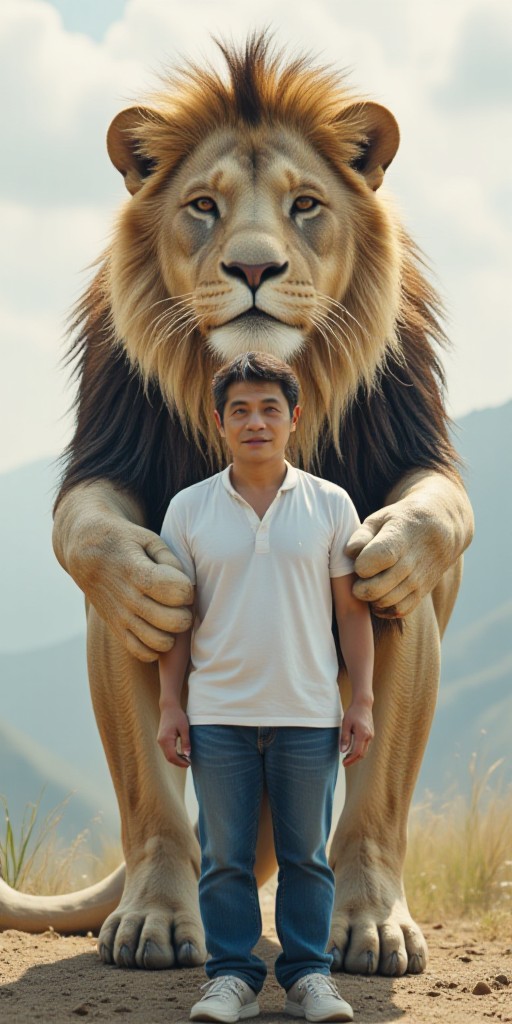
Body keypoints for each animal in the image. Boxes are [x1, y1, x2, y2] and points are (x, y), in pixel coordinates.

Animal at [0, 34, 473, 976]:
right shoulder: (112, 443)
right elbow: (96, 535)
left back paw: (362, 923)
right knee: (155, 775)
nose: (254, 267)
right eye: (204, 206)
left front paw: (398, 542)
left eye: (305, 205)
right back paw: (156, 918)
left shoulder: (411, 435)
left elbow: (431, 517)